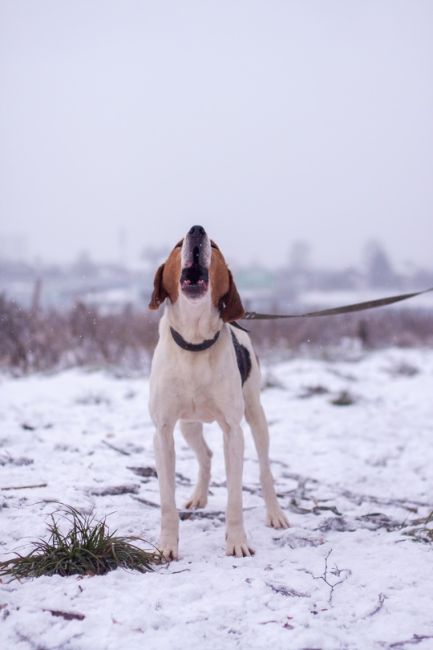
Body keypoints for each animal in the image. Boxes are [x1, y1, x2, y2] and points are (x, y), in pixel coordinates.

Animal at [148, 224, 286, 556]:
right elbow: (167, 502)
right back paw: (199, 495)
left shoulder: (233, 432)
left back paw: (275, 513)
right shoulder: (163, 431)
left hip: (256, 415)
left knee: (265, 470)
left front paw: (237, 541)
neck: (195, 342)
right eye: (178, 244)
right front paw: (166, 546)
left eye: (215, 246)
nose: (196, 230)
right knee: (206, 455)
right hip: (188, 426)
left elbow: (235, 498)